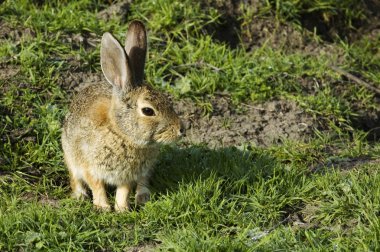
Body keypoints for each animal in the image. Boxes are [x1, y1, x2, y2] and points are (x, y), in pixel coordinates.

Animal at [61, 20, 185, 212]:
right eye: (148, 111)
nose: (181, 130)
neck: (121, 132)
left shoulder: (129, 176)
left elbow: (123, 190)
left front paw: (121, 209)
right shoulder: (89, 167)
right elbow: (97, 186)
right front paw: (103, 207)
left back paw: (142, 197)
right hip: (70, 156)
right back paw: (80, 196)